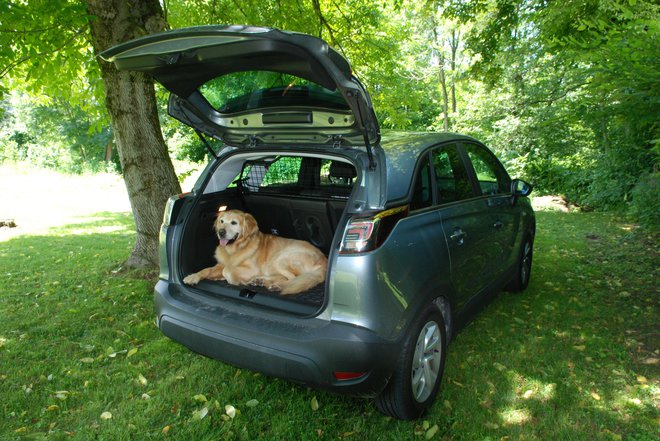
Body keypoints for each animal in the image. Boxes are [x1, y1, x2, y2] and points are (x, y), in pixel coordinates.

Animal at [182, 208, 326, 294]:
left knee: (293, 278)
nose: (220, 232)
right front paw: (192, 277)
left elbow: (227, 271)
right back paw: (261, 281)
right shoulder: (221, 264)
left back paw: (274, 285)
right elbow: (206, 270)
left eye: (234, 223)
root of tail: (325, 260)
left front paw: (236, 280)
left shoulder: (252, 269)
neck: (235, 248)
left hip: (282, 257)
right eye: (221, 221)